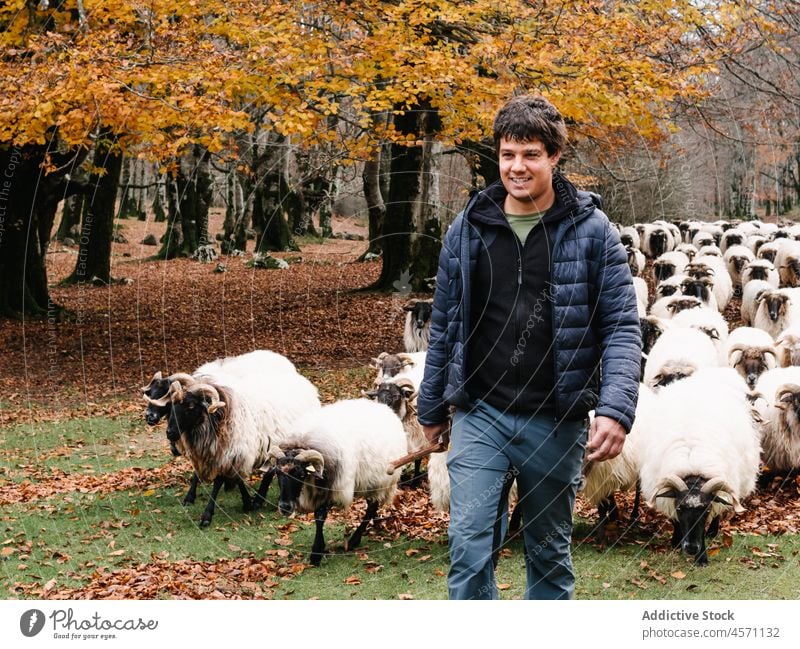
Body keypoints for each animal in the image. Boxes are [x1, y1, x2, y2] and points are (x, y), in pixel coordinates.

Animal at [268, 398, 410, 564]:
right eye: (277, 473)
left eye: (301, 474)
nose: (284, 507)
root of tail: (385, 408)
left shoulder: (333, 488)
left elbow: (320, 517)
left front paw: (316, 553)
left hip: (379, 482)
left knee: (371, 507)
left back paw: (354, 540)